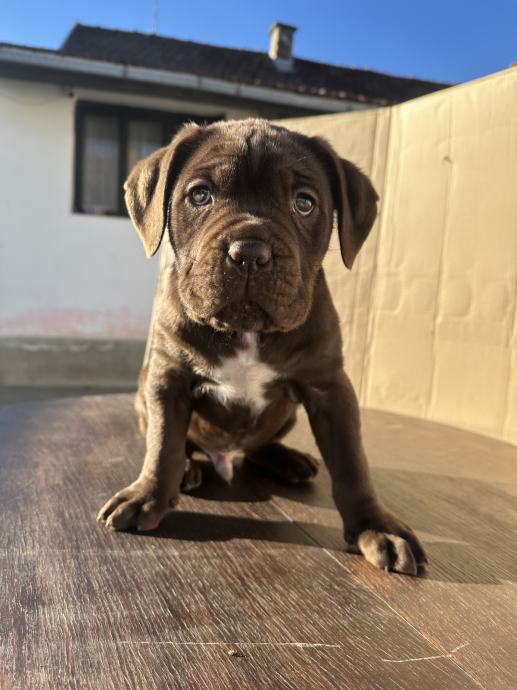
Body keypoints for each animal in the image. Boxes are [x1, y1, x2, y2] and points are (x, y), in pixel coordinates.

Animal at [98, 118, 427, 575]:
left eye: (304, 203)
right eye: (200, 195)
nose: (250, 251)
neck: (246, 331)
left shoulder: (330, 388)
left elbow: (351, 462)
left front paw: (375, 525)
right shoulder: (167, 378)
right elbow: (163, 445)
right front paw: (147, 496)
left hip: (287, 414)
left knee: (259, 445)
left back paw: (289, 461)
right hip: (143, 394)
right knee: (178, 444)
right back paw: (190, 469)